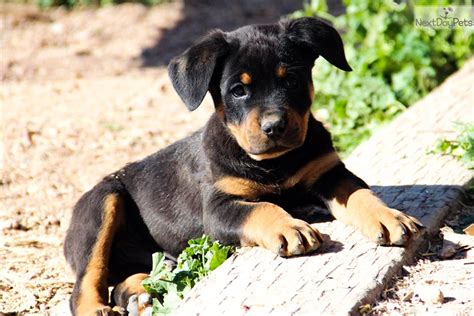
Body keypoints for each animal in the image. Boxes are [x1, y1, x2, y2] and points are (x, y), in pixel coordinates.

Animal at [63, 16, 422, 314]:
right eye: (238, 91)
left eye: (291, 80)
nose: (274, 126)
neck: (274, 163)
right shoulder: (219, 207)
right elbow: (262, 208)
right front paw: (290, 228)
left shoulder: (328, 172)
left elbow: (360, 194)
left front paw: (389, 217)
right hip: (103, 204)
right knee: (87, 279)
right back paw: (100, 307)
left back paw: (139, 295)